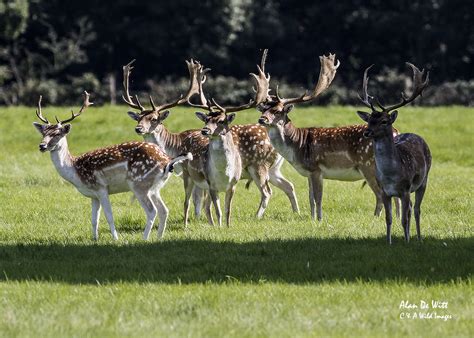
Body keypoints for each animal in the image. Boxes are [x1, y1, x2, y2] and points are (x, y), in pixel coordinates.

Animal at [32, 91, 193, 242]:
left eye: (57, 134)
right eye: (44, 133)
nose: (42, 146)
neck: (75, 170)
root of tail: (167, 160)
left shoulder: (101, 188)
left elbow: (109, 216)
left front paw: (115, 239)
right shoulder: (93, 195)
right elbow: (94, 219)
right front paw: (95, 239)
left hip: (139, 183)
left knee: (152, 211)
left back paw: (144, 238)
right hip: (155, 187)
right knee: (164, 210)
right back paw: (159, 237)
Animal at [258, 53, 398, 220]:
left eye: (278, 111)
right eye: (264, 109)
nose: (261, 119)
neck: (297, 145)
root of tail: (396, 132)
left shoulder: (316, 168)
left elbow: (318, 198)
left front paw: (319, 219)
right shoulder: (308, 173)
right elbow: (310, 198)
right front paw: (312, 219)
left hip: (368, 165)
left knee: (380, 194)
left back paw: (376, 218)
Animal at [358, 62, 432, 243]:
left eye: (384, 121)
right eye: (369, 120)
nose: (367, 132)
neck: (391, 175)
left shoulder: (405, 189)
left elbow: (404, 218)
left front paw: (406, 242)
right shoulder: (384, 191)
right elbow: (389, 218)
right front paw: (389, 242)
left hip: (423, 180)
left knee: (417, 209)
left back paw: (419, 238)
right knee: (411, 208)